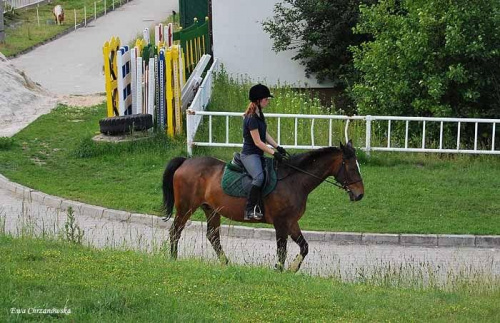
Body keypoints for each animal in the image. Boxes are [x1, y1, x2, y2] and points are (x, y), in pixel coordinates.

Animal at [163, 140, 364, 272]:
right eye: (352, 168)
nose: (360, 194)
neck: (294, 180)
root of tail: (186, 161)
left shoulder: (291, 222)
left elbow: (304, 247)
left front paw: (292, 269)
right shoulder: (281, 223)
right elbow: (282, 250)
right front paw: (279, 270)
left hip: (211, 210)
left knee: (213, 236)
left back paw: (225, 262)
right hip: (186, 208)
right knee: (175, 231)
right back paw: (173, 259)